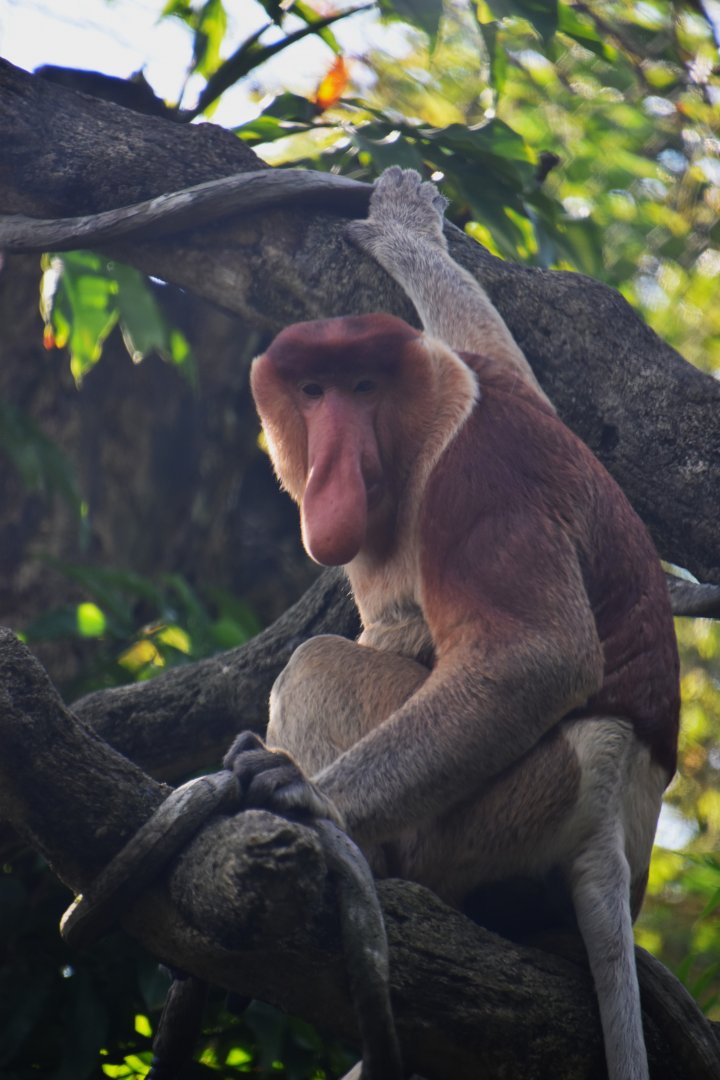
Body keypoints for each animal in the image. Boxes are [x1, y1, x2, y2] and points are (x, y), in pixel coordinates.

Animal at [225, 167, 679, 1080]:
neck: (429, 419)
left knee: (321, 663)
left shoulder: (481, 478)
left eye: (363, 389)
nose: (331, 459)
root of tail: (614, 814)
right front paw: (406, 225)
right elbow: (500, 346)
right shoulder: (491, 378)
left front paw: (301, 794)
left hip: (499, 808)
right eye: (314, 392)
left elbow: (538, 655)